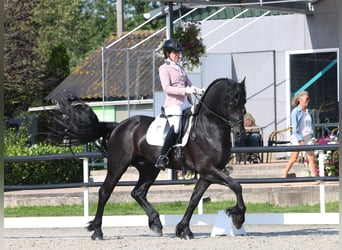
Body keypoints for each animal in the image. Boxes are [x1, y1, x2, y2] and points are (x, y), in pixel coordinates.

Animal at [50, 77, 246, 240]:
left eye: (244, 102)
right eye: (232, 101)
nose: (239, 132)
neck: (208, 128)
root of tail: (118, 126)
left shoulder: (208, 174)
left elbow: (194, 199)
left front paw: (183, 230)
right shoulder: (209, 169)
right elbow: (236, 185)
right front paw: (238, 217)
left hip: (149, 168)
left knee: (138, 192)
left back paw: (156, 223)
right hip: (118, 165)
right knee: (105, 192)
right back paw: (97, 231)